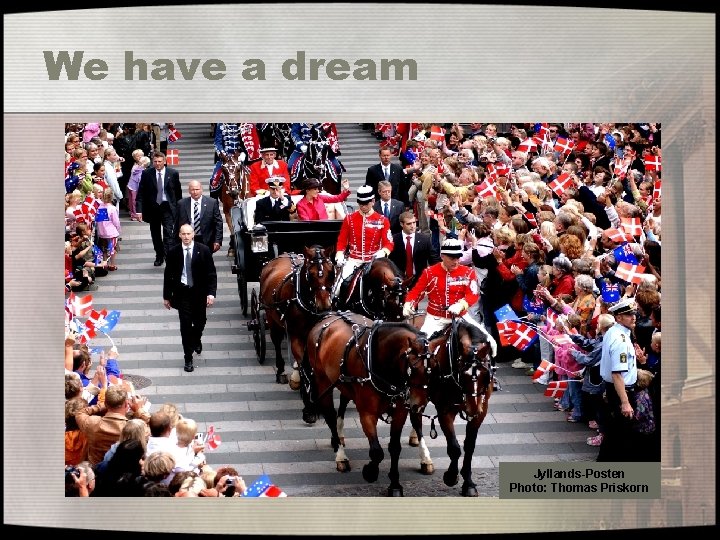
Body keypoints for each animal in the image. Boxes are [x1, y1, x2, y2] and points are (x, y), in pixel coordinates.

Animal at [260, 245, 336, 388]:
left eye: (331, 273)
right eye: (310, 275)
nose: (324, 306)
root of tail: (285, 254)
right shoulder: (296, 334)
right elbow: (301, 360)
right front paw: (298, 379)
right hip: (271, 318)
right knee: (276, 340)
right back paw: (281, 371)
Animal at [300, 312, 434, 498]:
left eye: (434, 367)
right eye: (413, 368)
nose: (419, 405)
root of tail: (329, 316)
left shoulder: (400, 412)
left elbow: (394, 448)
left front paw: (394, 484)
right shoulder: (367, 413)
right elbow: (376, 452)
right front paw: (370, 472)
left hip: (343, 383)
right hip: (322, 381)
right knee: (330, 417)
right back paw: (340, 454)